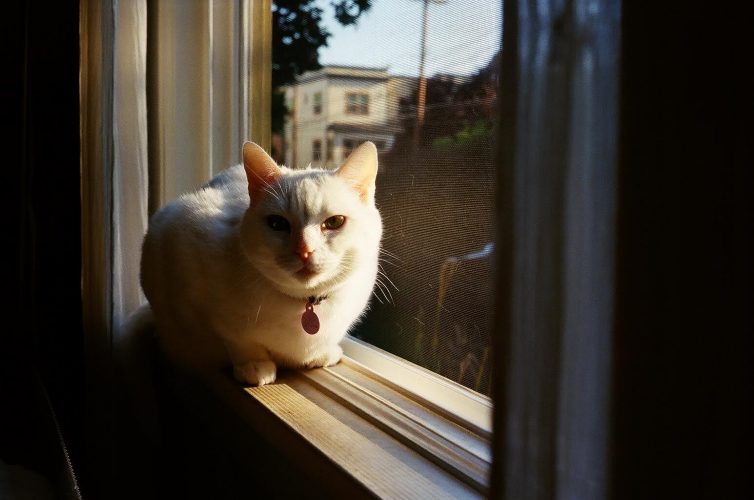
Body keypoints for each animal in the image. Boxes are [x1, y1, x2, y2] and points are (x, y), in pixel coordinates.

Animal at [140, 143, 382, 384]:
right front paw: (255, 366)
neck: (304, 305)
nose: (304, 250)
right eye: (277, 223)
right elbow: (240, 341)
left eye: (334, 222)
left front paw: (321, 354)